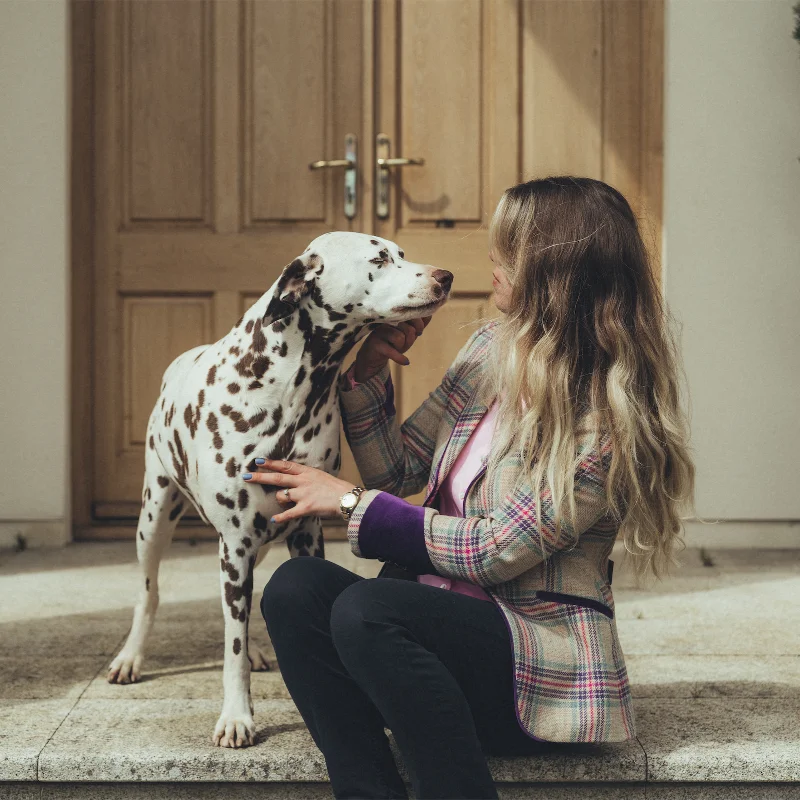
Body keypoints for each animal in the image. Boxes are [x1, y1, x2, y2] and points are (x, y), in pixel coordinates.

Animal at [106, 231, 454, 752]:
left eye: (403, 254)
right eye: (378, 258)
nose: (445, 276)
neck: (289, 390)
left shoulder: (303, 533)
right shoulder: (235, 544)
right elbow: (229, 647)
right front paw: (236, 716)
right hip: (154, 519)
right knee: (150, 594)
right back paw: (130, 657)